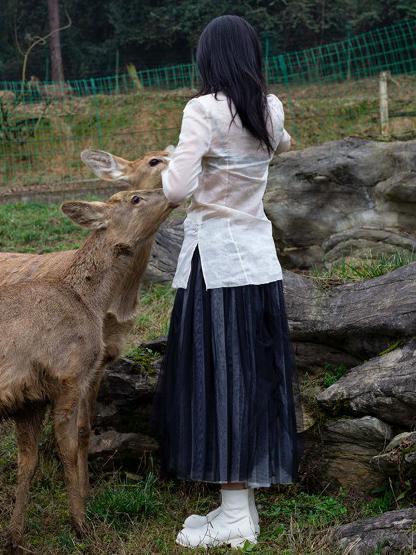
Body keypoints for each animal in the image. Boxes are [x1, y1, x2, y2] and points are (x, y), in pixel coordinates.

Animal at [0, 150, 176, 548]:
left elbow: (28, 461)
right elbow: (66, 449)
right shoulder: (67, 373)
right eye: (135, 198)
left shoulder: (29, 398)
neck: (89, 301)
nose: (174, 193)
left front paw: (15, 535)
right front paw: (81, 524)